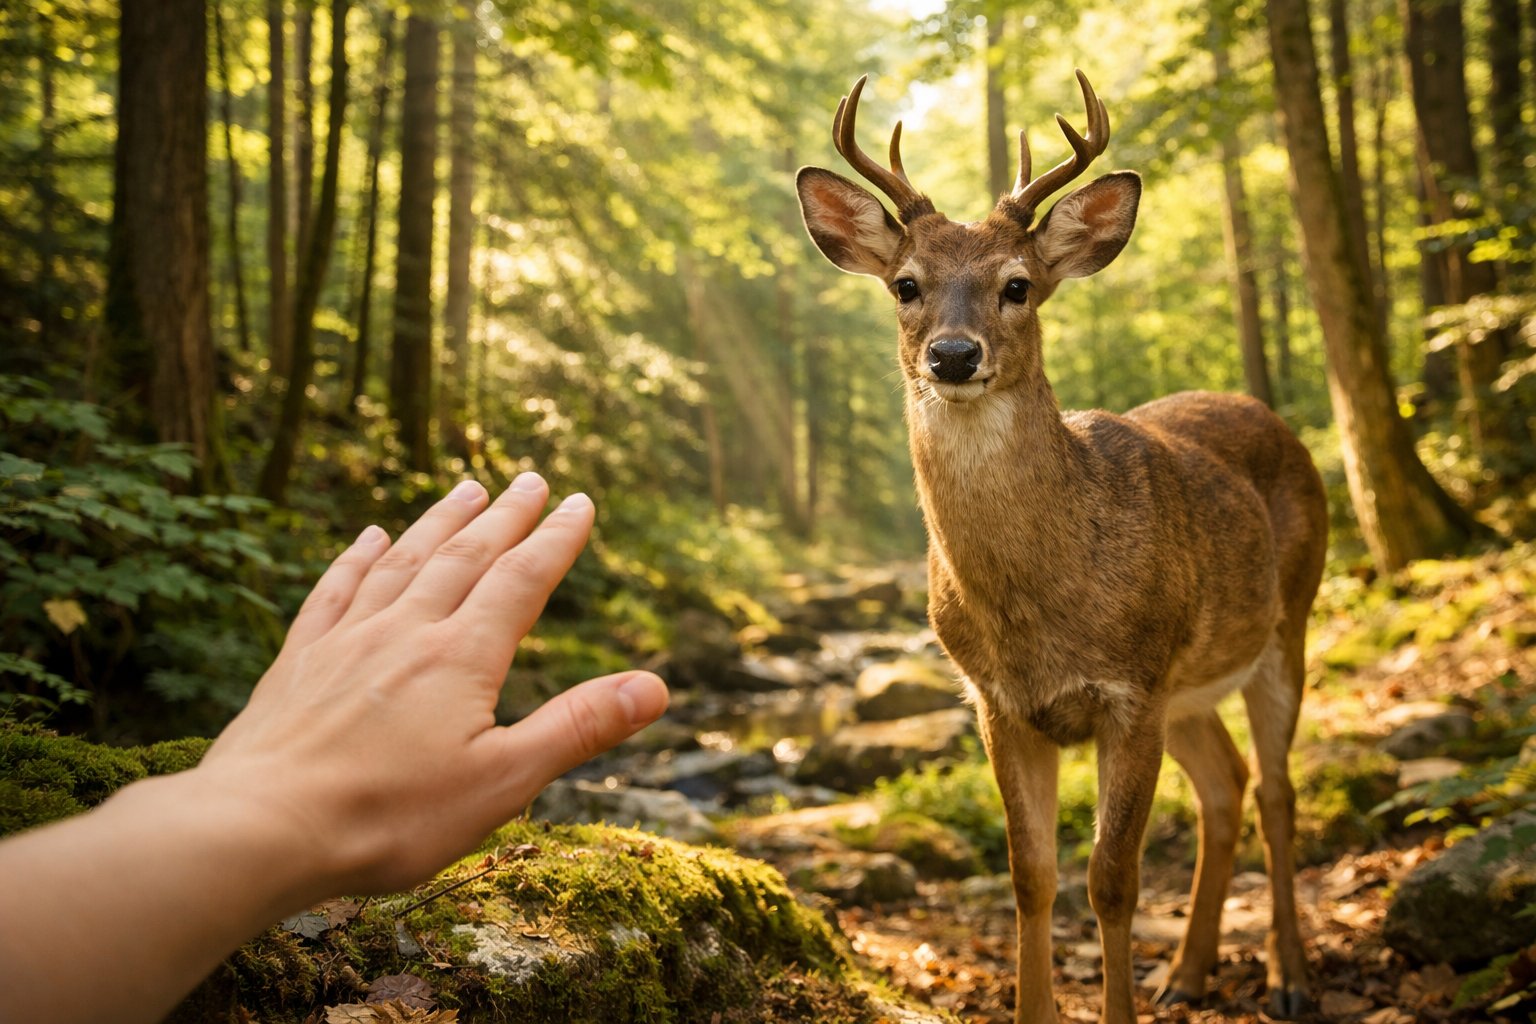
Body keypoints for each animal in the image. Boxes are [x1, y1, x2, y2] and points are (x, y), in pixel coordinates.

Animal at [794, 71, 1328, 1024]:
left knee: (1275, 789)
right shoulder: (998, 701)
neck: (1039, 605)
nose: (954, 354)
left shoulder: (1131, 688)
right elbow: (1030, 877)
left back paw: (1290, 979)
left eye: (1018, 285)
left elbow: (1110, 881)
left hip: (1285, 624)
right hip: (1189, 690)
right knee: (1225, 786)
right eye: (904, 284)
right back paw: (1187, 972)